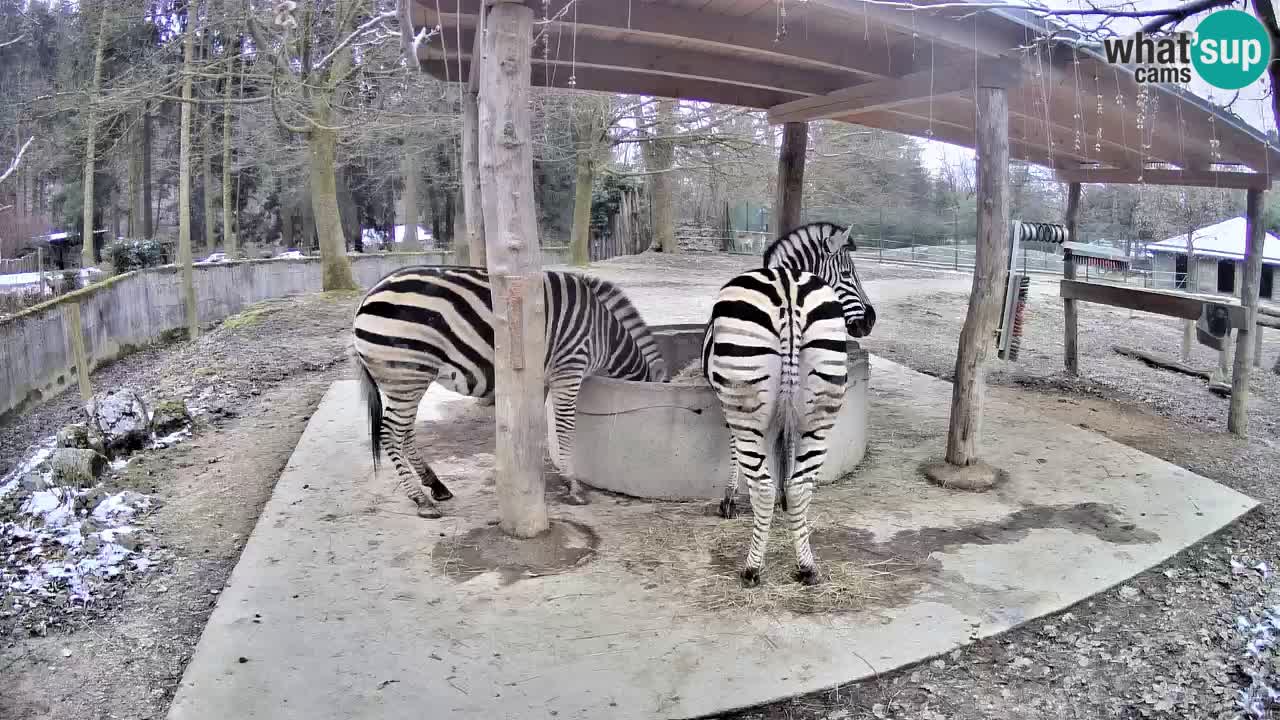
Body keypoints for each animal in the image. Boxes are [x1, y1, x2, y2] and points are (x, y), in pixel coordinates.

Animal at [350, 263, 670, 515]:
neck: (605, 335)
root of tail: (368, 295)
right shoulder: (569, 367)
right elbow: (565, 428)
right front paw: (572, 485)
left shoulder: (541, 379)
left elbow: (534, 424)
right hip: (407, 373)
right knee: (390, 433)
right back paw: (421, 500)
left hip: (407, 380)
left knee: (404, 432)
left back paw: (436, 486)